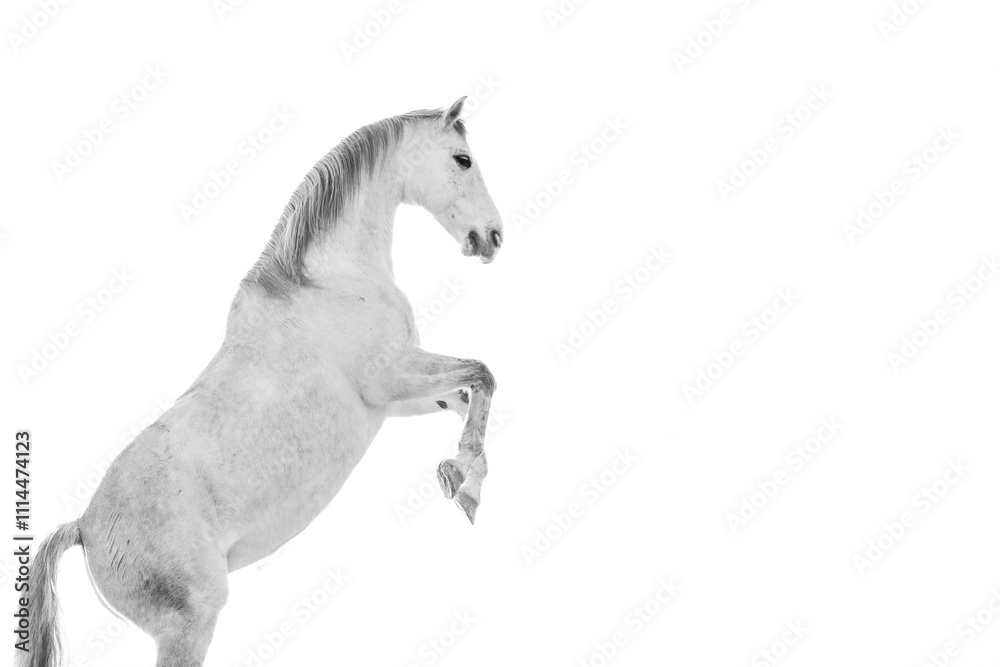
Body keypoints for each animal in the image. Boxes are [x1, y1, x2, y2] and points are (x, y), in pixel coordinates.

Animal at [19, 97, 502, 667]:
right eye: (463, 159)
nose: (493, 237)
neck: (330, 280)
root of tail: (85, 527)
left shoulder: (399, 399)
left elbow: (466, 396)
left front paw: (465, 481)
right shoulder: (390, 378)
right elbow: (484, 373)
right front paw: (463, 478)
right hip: (189, 627)